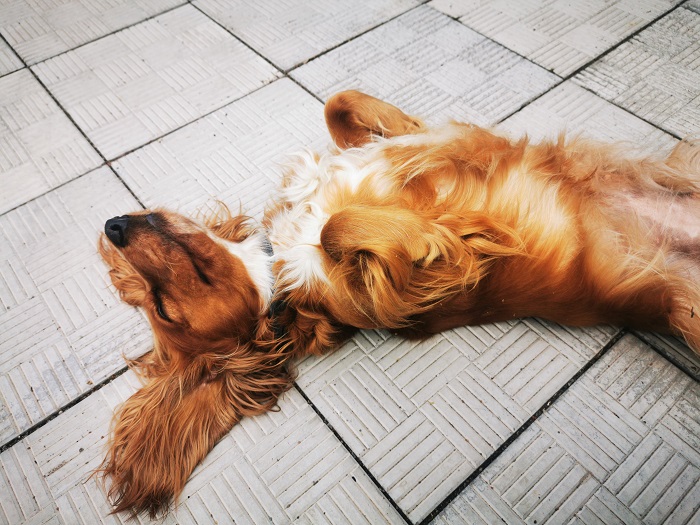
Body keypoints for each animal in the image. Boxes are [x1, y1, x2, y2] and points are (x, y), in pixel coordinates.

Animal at [98, 90, 700, 516]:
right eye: (163, 309)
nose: (114, 225)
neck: (277, 262)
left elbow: (339, 104)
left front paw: (406, 130)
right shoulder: (390, 294)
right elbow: (344, 228)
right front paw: (424, 235)